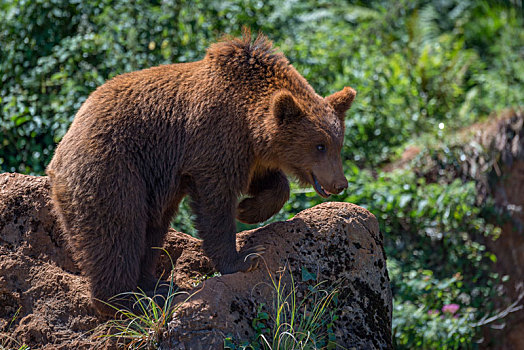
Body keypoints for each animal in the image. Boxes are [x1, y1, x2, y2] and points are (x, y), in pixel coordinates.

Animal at [46, 29, 356, 314]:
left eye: (338, 143)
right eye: (319, 146)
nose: (340, 183)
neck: (250, 123)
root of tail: (59, 152)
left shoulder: (247, 154)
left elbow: (271, 183)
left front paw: (248, 209)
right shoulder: (212, 141)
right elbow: (215, 204)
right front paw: (244, 257)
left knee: (152, 229)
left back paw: (155, 285)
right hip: (113, 169)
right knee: (117, 230)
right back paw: (125, 300)